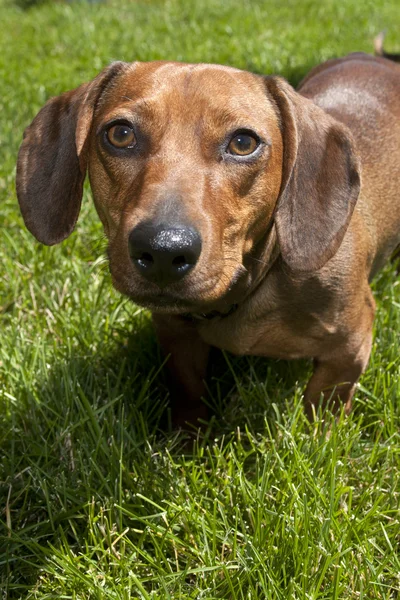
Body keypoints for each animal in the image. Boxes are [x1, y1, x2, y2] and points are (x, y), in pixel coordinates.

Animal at [17, 52, 400, 426]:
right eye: (121, 133)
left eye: (243, 142)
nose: (163, 251)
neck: (247, 291)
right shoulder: (175, 334)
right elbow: (187, 390)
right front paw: (187, 436)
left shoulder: (350, 347)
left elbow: (323, 408)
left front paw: (317, 436)